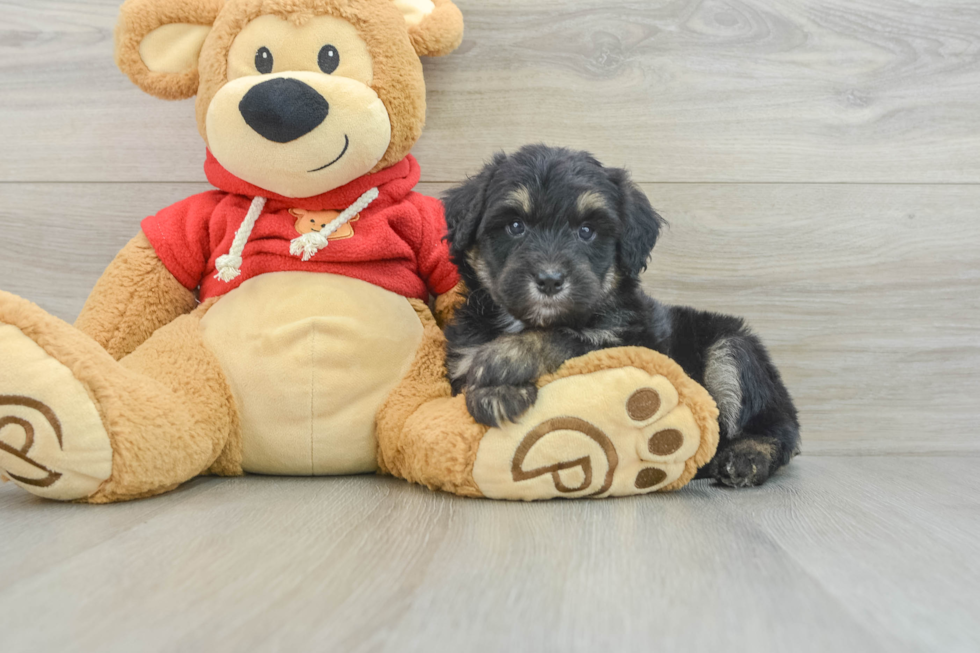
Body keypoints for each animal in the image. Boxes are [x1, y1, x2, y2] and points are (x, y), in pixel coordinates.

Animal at [440, 144, 800, 488]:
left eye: (586, 231)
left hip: (731, 349)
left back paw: (745, 458)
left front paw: (506, 359)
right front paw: (496, 393)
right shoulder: (462, 353)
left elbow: (567, 339)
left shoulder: (630, 345)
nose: (550, 280)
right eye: (515, 226)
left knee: (776, 427)